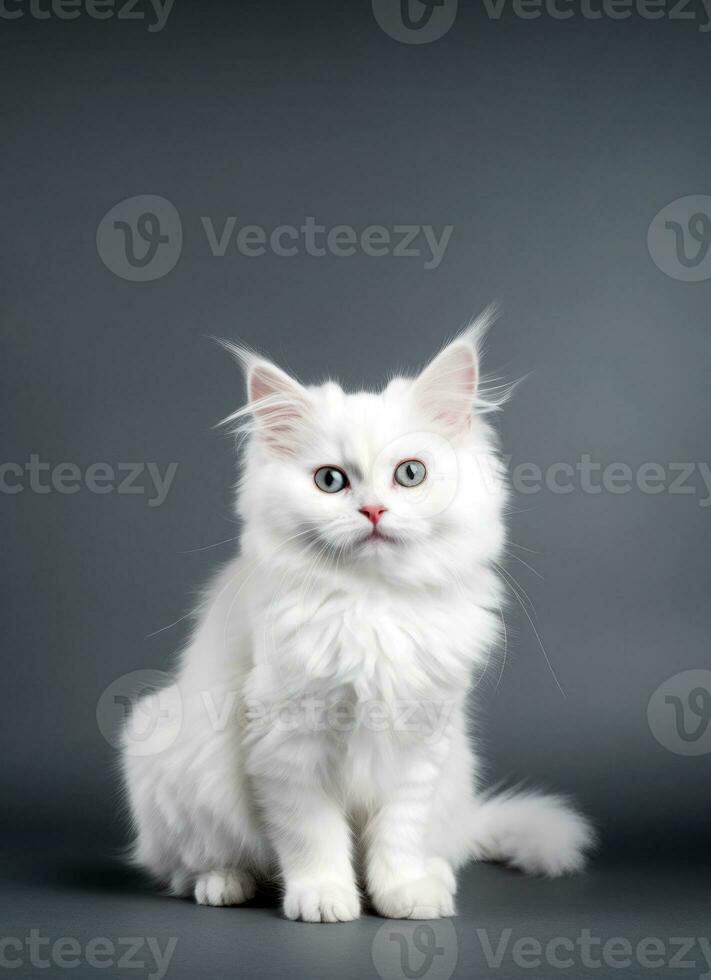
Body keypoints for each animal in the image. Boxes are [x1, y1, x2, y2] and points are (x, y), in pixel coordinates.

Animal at [124, 310, 596, 924]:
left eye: (410, 474)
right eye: (330, 480)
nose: (373, 510)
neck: (374, 603)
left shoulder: (419, 744)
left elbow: (398, 834)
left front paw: (402, 894)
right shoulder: (286, 739)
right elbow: (312, 834)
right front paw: (324, 897)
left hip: (455, 775)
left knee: (441, 844)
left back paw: (435, 876)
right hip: (166, 755)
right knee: (187, 868)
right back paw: (225, 883)